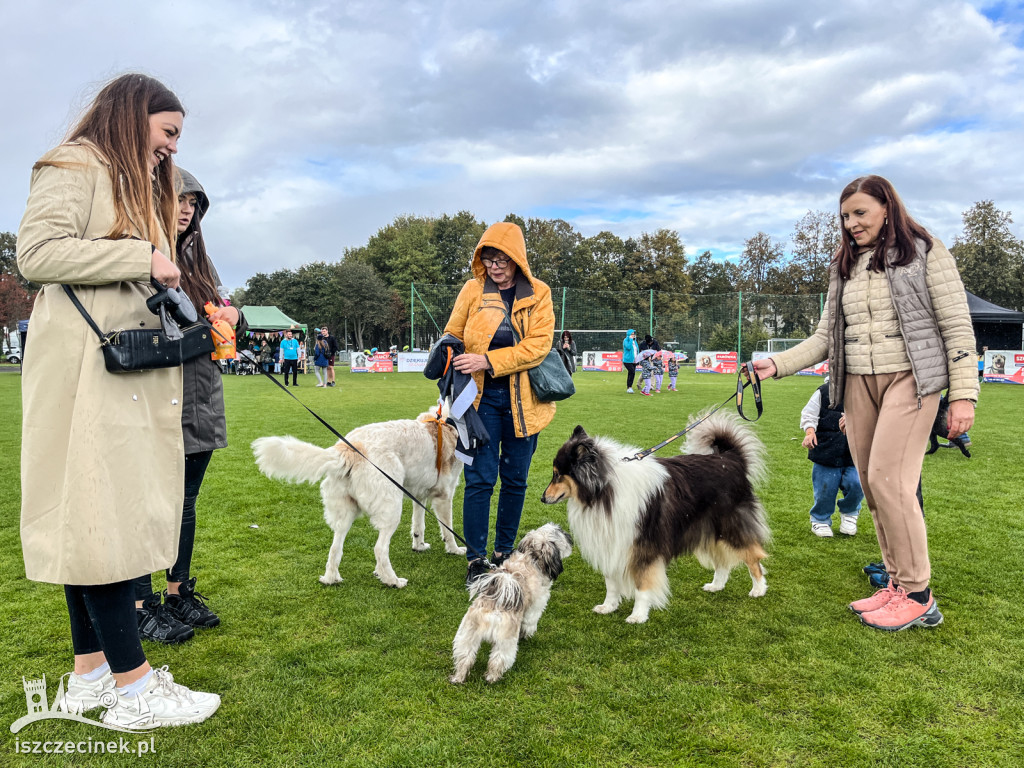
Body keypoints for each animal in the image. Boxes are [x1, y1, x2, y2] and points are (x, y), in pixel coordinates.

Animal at [250, 415, 464, 589]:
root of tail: (347, 448)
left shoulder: (418, 495)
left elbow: (418, 525)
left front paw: (419, 546)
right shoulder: (444, 496)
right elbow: (448, 529)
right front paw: (454, 550)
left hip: (345, 514)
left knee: (335, 548)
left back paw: (331, 579)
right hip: (391, 509)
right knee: (380, 549)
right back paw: (392, 580)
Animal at [450, 524, 573, 684]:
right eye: (561, 533)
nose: (570, 536)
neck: (531, 557)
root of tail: (493, 609)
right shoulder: (535, 607)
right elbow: (529, 624)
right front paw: (527, 635)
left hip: (467, 636)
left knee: (465, 657)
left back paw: (458, 677)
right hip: (505, 641)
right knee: (497, 660)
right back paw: (492, 678)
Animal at [544, 411, 770, 622]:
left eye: (557, 474)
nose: (542, 498)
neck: (603, 492)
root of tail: (731, 458)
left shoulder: (643, 548)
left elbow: (642, 585)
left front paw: (638, 615)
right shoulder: (612, 543)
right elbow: (611, 583)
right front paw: (608, 606)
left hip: (730, 525)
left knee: (753, 556)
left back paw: (759, 589)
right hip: (709, 527)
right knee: (722, 560)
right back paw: (716, 585)